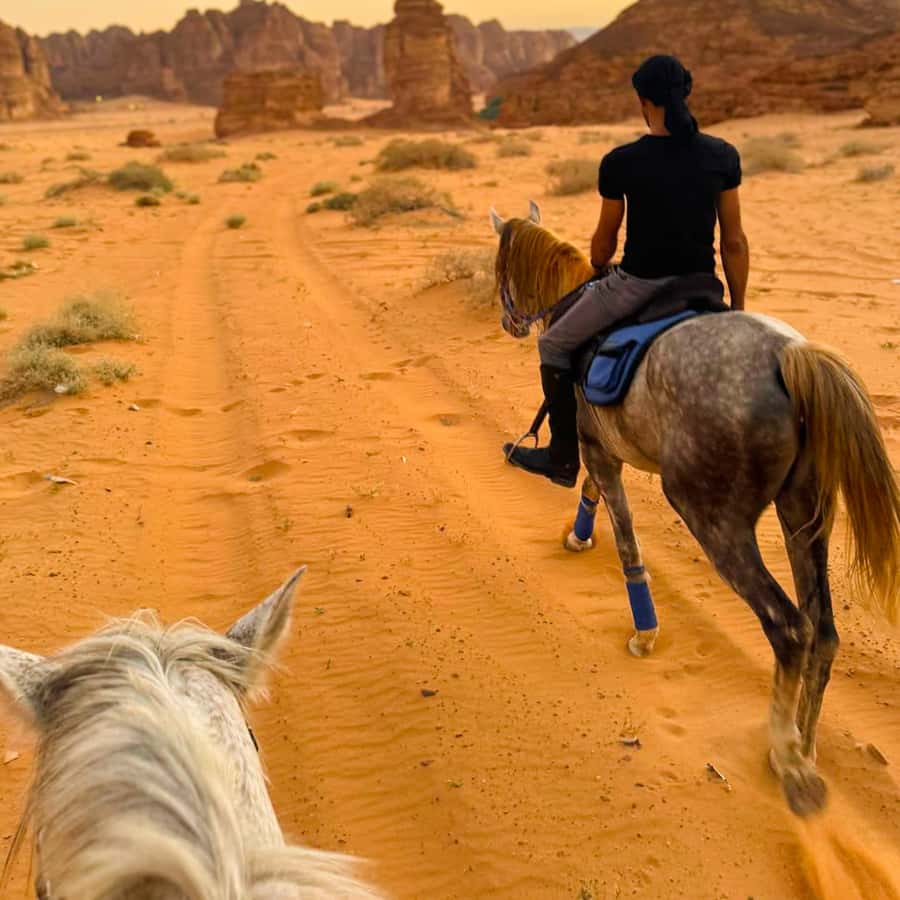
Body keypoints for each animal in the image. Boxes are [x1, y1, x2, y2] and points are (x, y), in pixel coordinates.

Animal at [490, 202, 900, 817]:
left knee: (789, 628)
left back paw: (788, 760)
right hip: (804, 513)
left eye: (499, 268)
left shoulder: (594, 445)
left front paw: (644, 632)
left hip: (713, 518)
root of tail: (789, 357)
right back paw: (802, 747)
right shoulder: (603, 444)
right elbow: (592, 493)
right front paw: (578, 534)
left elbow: (623, 534)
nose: (510, 321)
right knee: (823, 630)